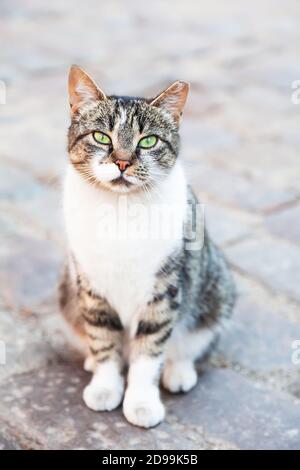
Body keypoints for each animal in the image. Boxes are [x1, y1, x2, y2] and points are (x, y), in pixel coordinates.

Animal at [59, 64, 236, 428]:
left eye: (149, 140)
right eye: (102, 137)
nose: (123, 162)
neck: (120, 211)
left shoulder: (164, 291)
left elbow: (149, 352)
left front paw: (141, 402)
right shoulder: (91, 287)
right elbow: (104, 341)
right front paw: (105, 387)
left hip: (216, 292)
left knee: (192, 343)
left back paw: (179, 372)